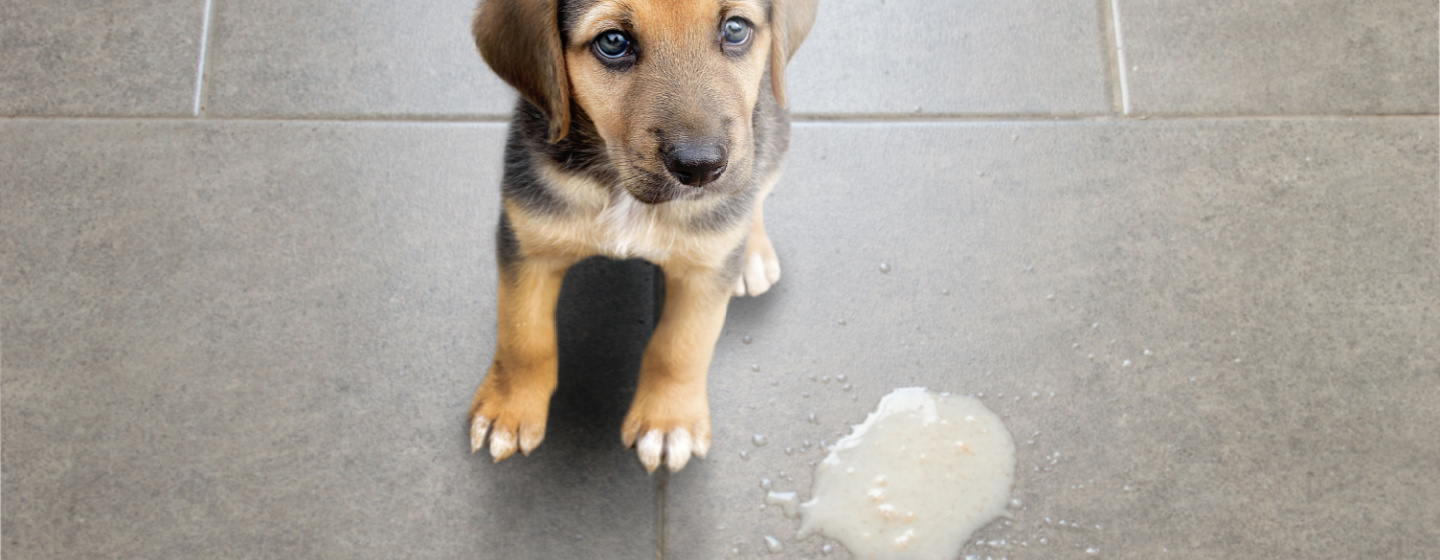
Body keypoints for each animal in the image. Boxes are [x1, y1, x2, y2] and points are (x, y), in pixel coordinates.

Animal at [466, 0, 817, 472]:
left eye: (735, 29)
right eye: (613, 42)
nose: (700, 167)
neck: (622, 190)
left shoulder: (705, 271)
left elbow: (680, 346)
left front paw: (669, 423)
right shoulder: (528, 243)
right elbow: (523, 335)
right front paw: (509, 408)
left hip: (771, 133)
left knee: (756, 188)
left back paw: (751, 253)